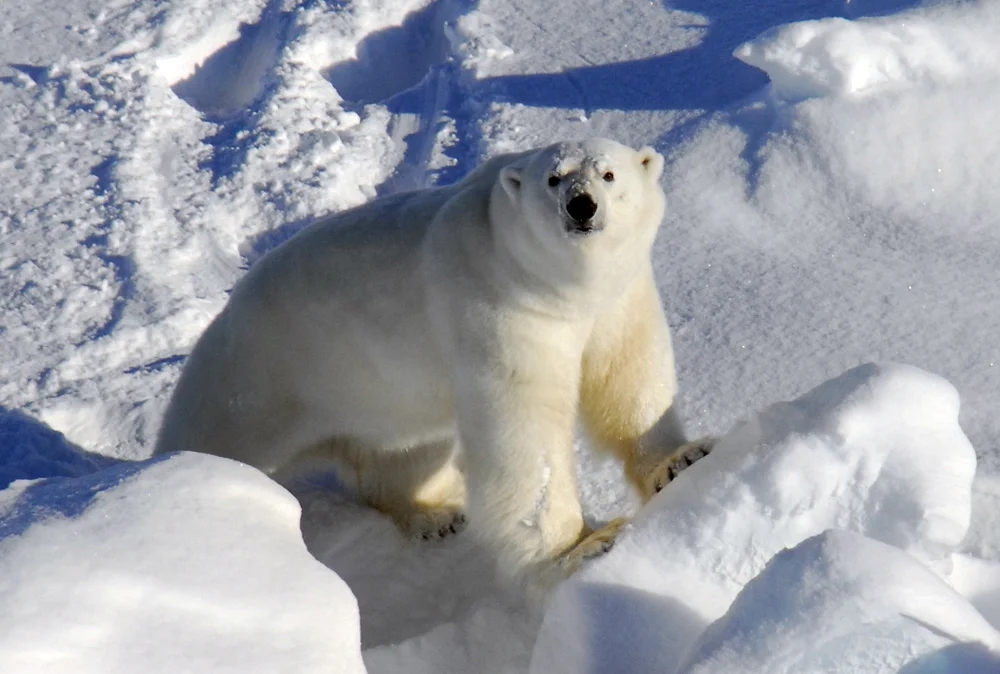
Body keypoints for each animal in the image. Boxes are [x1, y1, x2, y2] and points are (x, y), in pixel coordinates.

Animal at [155, 138, 711, 597]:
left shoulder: (618, 298)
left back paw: (436, 515)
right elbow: (526, 433)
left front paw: (681, 460)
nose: (581, 205)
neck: (556, 288)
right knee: (218, 439)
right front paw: (585, 546)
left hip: (381, 399)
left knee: (404, 452)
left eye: (609, 174)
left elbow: (629, 375)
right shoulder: (500, 309)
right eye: (554, 178)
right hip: (256, 382)